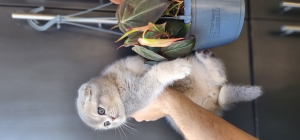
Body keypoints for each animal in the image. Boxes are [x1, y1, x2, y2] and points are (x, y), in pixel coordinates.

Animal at [76, 49, 262, 131]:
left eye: (100, 111)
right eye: (106, 124)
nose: (114, 120)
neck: (115, 81)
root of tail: (215, 102)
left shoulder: (128, 64)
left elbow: (141, 63)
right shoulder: (139, 94)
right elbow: (156, 74)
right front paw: (176, 68)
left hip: (200, 71)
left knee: (220, 78)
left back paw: (205, 57)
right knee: (220, 80)